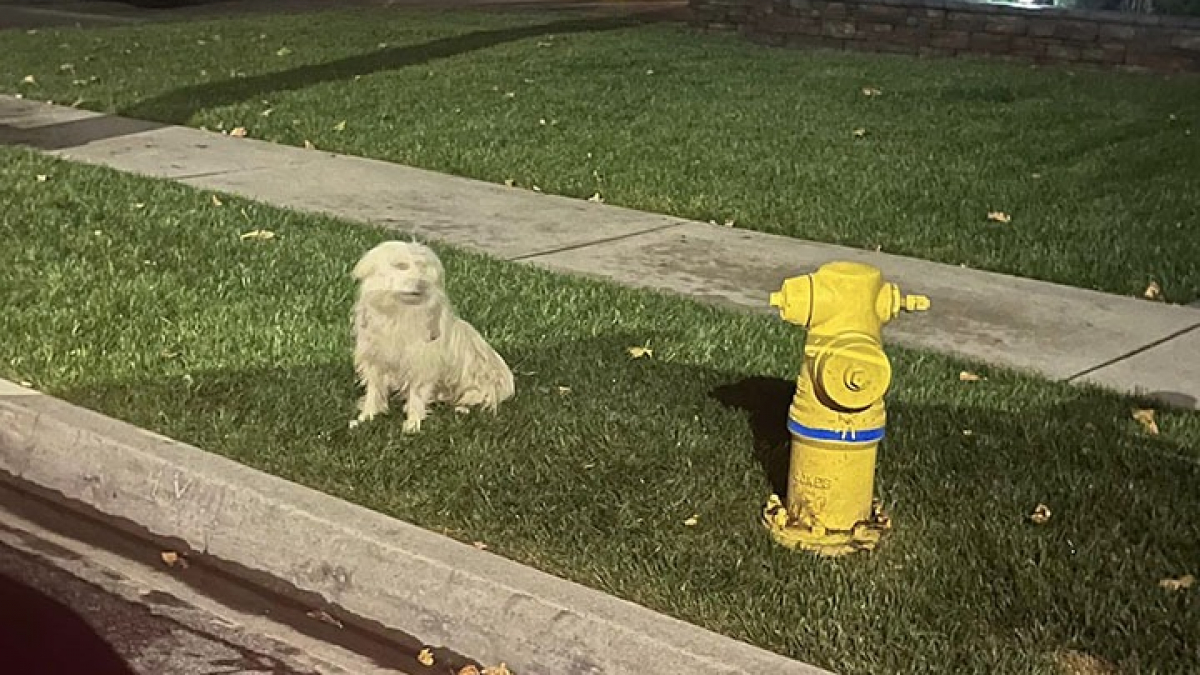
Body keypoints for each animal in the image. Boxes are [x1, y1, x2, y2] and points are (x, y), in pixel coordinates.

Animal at [350, 240, 513, 429]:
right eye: (401, 265)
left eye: (423, 268)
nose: (422, 283)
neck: (400, 311)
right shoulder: (375, 360)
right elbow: (374, 390)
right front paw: (366, 416)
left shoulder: (422, 364)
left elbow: (417, 395)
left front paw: (413, 424)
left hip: (478, 389)